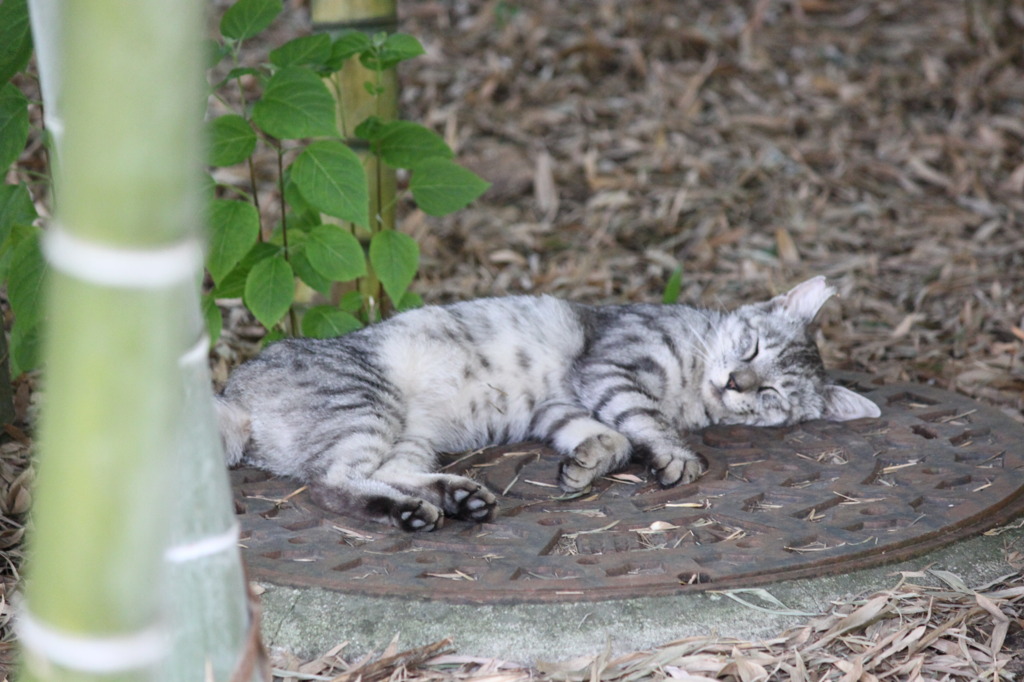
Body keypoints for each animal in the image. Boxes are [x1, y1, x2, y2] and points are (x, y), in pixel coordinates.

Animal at [216, 274, 880, 528]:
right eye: (750, 347)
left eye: (771, 393)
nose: (735, 384)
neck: (691, 386)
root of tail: (233, 394)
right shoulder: (611, 368)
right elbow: (642, 420)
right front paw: (677, 457)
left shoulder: (562, 403)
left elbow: (611, 435)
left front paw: (587, 465)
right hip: (367, 405)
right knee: (331, 483)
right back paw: (411, 510)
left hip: (407, 435)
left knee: (385, 473)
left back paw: (453, 499)